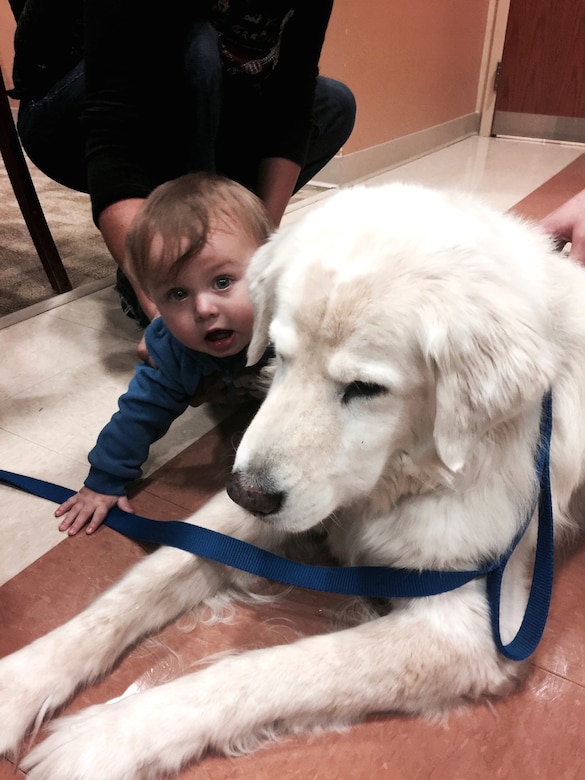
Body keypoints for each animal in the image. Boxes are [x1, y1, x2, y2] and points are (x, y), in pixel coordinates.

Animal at [1, 184, 584, 780]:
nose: (248, 493)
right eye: (280, 355)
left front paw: (108, 736)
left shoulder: (470, 625)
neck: (401, 476)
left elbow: (271, 667)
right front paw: (16, 685)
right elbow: (143, 583)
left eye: (366, 388)